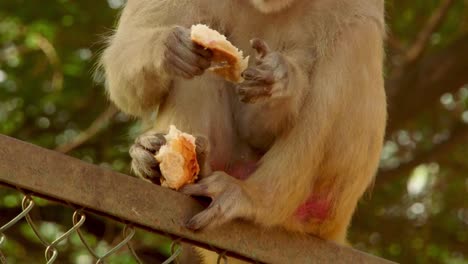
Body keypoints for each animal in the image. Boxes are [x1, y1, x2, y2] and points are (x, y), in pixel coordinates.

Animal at [101, 0, 388, 260]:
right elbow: (124, 84)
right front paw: (169, 48)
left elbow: (260, 125)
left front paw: (281, 79)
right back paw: (182, 166)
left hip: (329, 207)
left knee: (355, 37)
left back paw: (254, 198)